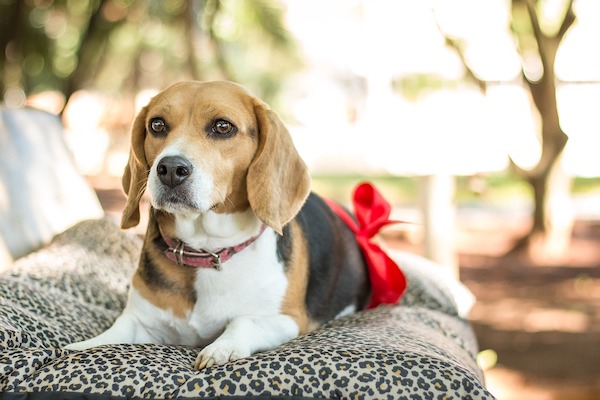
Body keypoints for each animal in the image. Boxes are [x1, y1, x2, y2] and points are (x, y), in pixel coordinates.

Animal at [69, 80, 370, 368]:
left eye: (223, 127)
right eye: (157, 124)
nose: (170, 169)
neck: (206, 250)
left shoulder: (288, 319)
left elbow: (243, 321)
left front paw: (221, 348)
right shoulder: (141, 319)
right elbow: (112, 334)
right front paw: (78, 348)